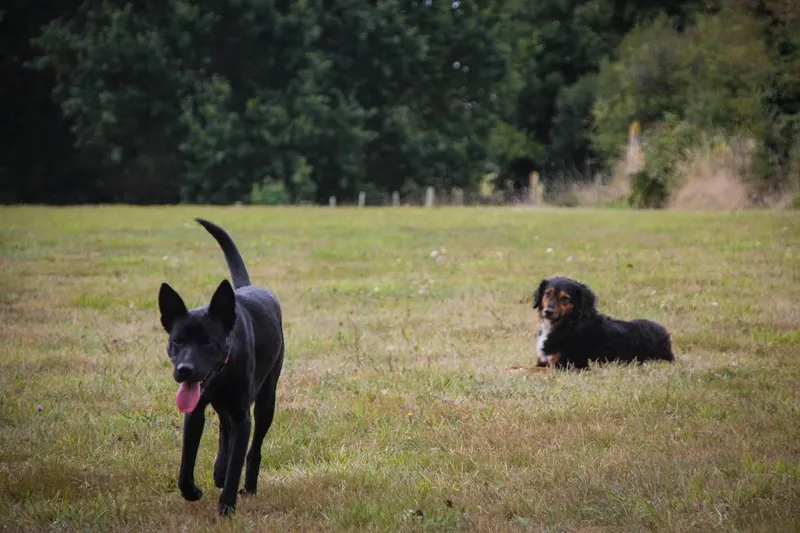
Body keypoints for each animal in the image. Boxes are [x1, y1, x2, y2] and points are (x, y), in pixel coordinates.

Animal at [158, 218, 286, 512]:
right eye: (177, 341)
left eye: (209, 342)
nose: (184, 370)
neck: (223, 373)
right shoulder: (194, 411)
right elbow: (186, 464)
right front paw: (192, 491)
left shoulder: (243, 416)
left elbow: (238, 461)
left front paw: (226, 507)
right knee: (223, 428)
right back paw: (219, 469)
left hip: (267, 400)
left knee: (254, 447)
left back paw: (247, 486)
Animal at [532, 274, 676, 370]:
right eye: (547, 293)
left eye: (565, 298)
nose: (548, 311)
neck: (570, 324)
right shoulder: (543, 362)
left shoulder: (564, 366)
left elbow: (530, 370)